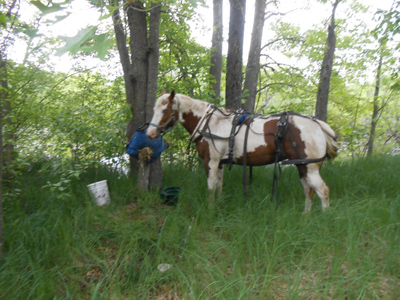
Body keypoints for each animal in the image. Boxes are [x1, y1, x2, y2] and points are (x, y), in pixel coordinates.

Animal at [147, 90, 338, 212]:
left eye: (165, 110)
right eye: (154, 109)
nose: (150, 133)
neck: (210, 124)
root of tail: (317, 124)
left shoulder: (211, 161)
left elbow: (210, 187)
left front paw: (210, 210)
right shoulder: (220, 163)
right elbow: (219, 185)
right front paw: (219, 205)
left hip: (310, 168)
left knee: (323, 191)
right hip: (302, 166)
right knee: (309, 190)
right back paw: (305, 216)